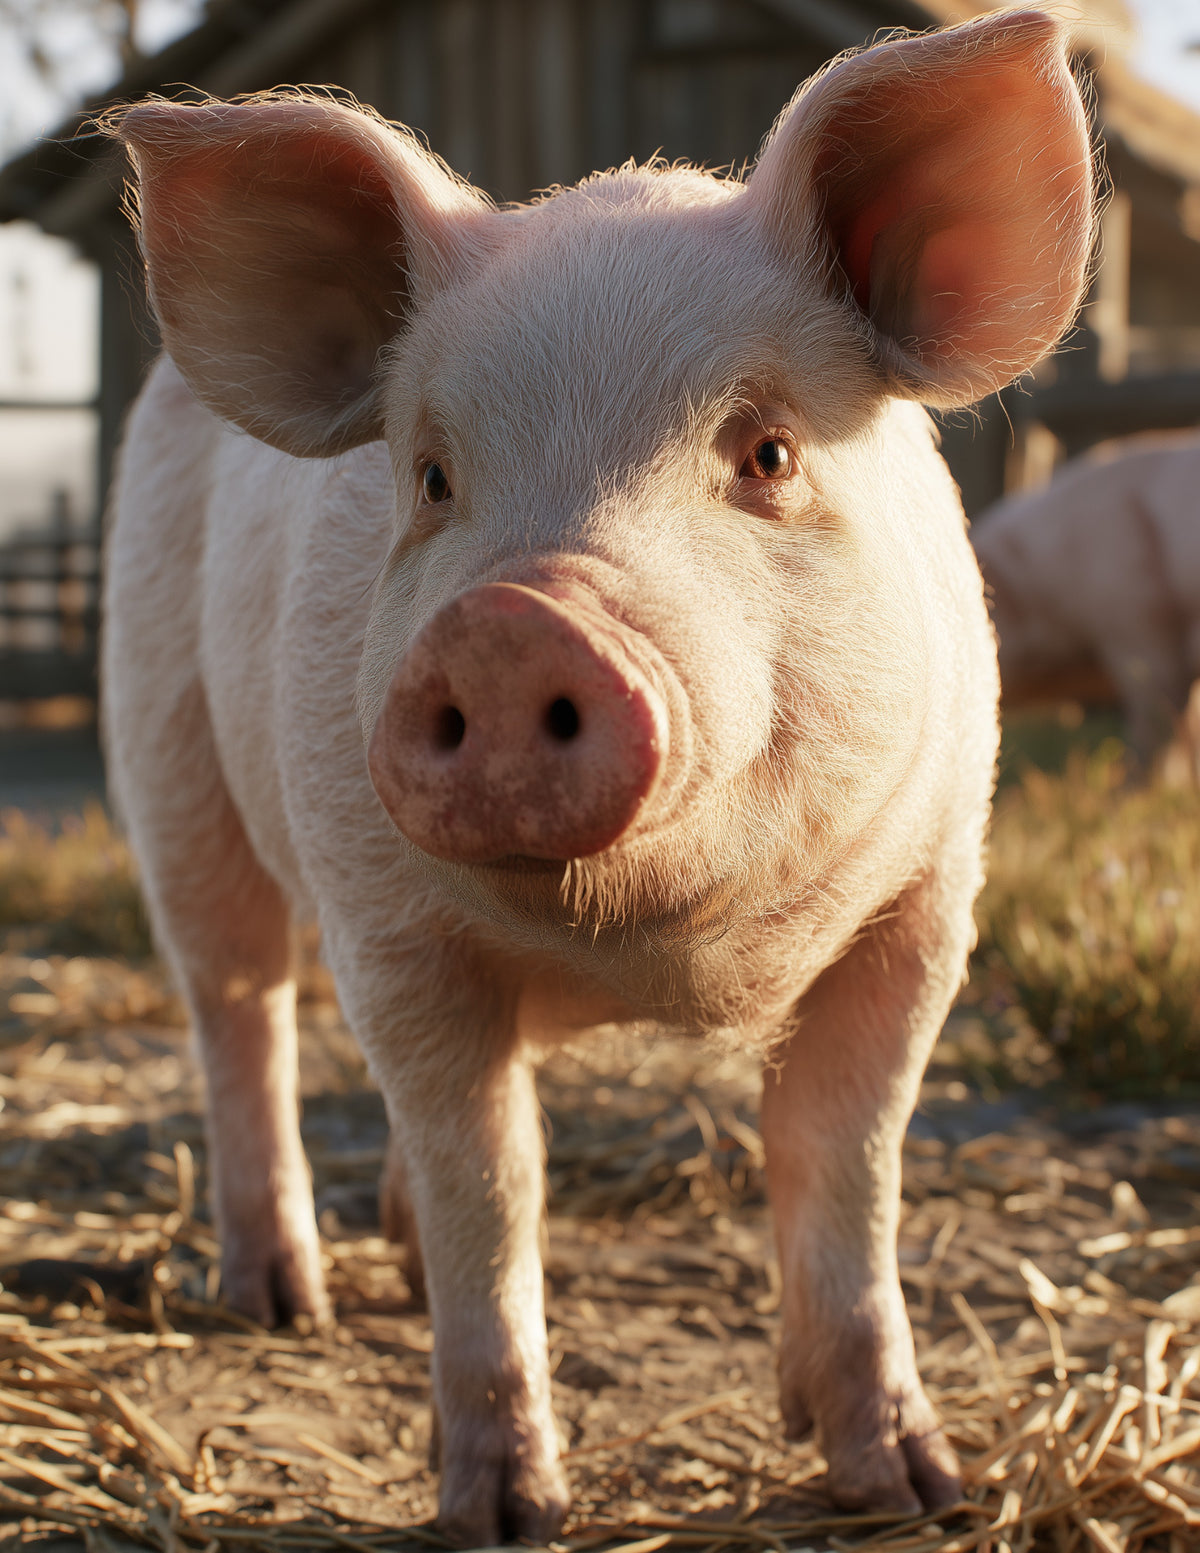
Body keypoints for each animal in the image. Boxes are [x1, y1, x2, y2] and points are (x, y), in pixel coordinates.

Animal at [101, 10, 1093, 1541]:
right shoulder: (390, 931)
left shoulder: (928, 899)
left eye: (769, 450)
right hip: (166, 756)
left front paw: (910, 1486)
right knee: (240, 1007)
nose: (513, 624)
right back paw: (279, 1301)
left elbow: (846, 1163)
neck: (652, 962)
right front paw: (506, 1514)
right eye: (432, 477)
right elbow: (496, 1185)